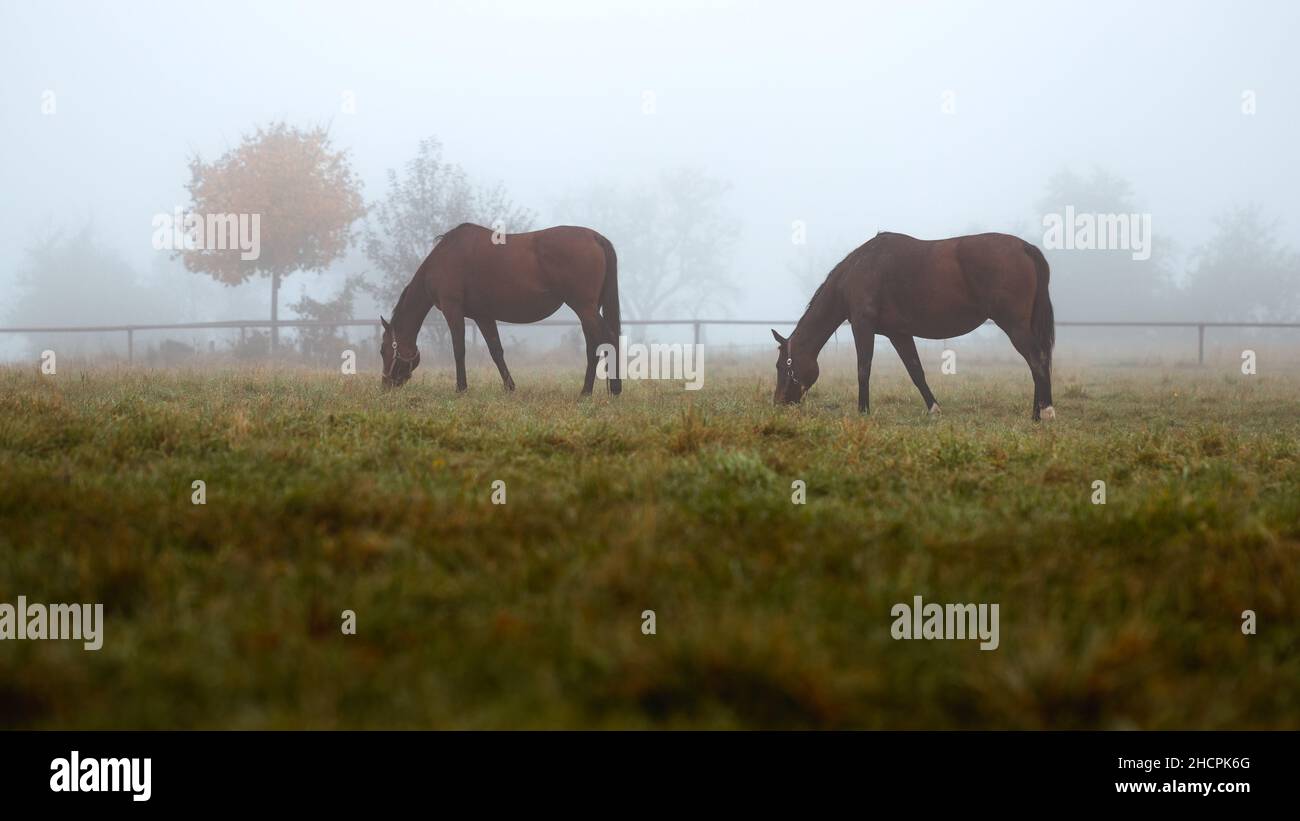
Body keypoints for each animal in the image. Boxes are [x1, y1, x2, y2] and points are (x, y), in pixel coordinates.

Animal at [379, 220, 621, 394]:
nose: (386, 385)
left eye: (382, 350)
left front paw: (461, 388)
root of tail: (595, 237)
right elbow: (496, 351)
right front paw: (510, 387)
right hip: (588, 309)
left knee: (607, 338)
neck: (443, 258)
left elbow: (459, 349)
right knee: (594, 345)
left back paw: (612, 389)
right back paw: (587, 391)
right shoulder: (483, 316)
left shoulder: (452, 309)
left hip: (584, 307)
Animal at [769, 232, 1055, 420]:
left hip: (1015, 326)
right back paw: (1036, 413)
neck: (858, 270)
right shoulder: (899, 334)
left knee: (1037, 361)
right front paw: (934, 409)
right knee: (1038, 362)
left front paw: (863, 411)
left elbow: (863, 369)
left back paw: (1045, 412)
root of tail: (1025, 247)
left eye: (782, 366)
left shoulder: (863, 326)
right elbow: (915, 371)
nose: (778, 403)